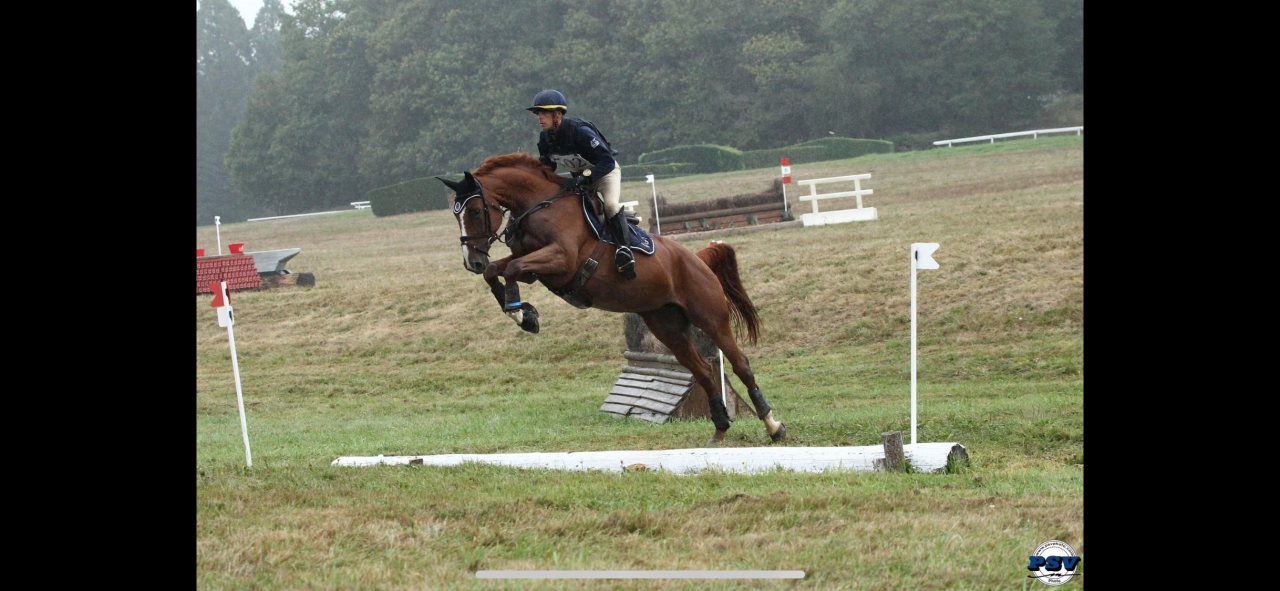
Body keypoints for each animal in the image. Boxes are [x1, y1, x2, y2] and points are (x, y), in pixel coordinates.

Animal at [436, 153, 785, 444]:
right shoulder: (535, 268)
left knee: (740, 364)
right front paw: (524, 313)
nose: (471, 261)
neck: (539, 205)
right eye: (456, 216)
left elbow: (512, 269)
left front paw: (521, 313)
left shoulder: (561, 261)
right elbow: (497, 270)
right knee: (703, 371)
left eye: (476, 211)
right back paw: (720, 429)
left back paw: (774, 426)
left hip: (711, 317)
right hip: (667, 326)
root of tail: (697, 259)